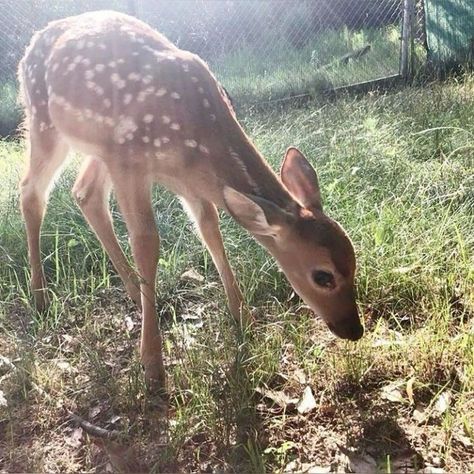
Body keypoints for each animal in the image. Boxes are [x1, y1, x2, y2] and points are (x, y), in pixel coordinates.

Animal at [17, 10, 362, 388]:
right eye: (323, 276)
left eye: (354, 262)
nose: (355, 330)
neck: (197, 130)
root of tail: (30, 47)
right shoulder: (131, 163)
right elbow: (147, 243)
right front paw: (152, 364)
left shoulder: (188, 181)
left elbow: (211, 231)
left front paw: (245, 319)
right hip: (46, 123)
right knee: (31, 191)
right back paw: (39, 296)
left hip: (99, 147)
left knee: (84, 192)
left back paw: (134, 293)